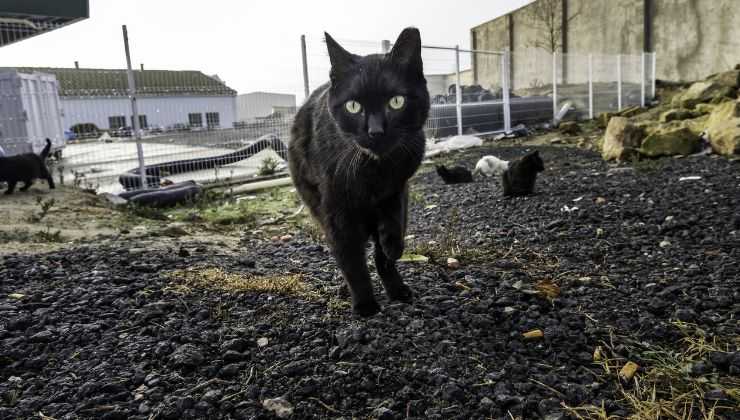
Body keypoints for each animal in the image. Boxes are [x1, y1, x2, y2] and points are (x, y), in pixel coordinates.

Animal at [288, 27, 430, 316]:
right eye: (353, 106)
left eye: (396, 102)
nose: (375, 131)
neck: (374, 170)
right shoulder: (336, 210)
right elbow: (351, 260)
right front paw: (365, 304)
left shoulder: (399, 188)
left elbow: (389, 237)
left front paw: (393, 254)